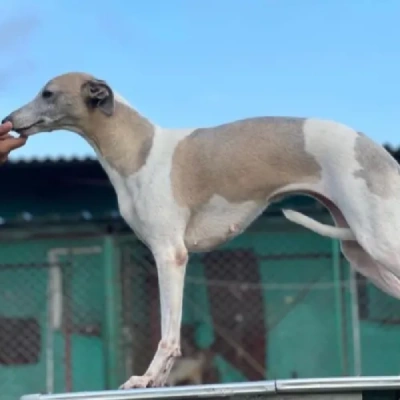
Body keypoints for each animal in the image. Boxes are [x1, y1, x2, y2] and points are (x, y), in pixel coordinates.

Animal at [4, 72, 400, 388]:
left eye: (48, 93)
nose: (7, 119)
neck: (137, 149)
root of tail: (374, 148)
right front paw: (158, 381)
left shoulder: (170, 255)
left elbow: (168, 335)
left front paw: (146, 378)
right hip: (360, 253)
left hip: (380, 241)